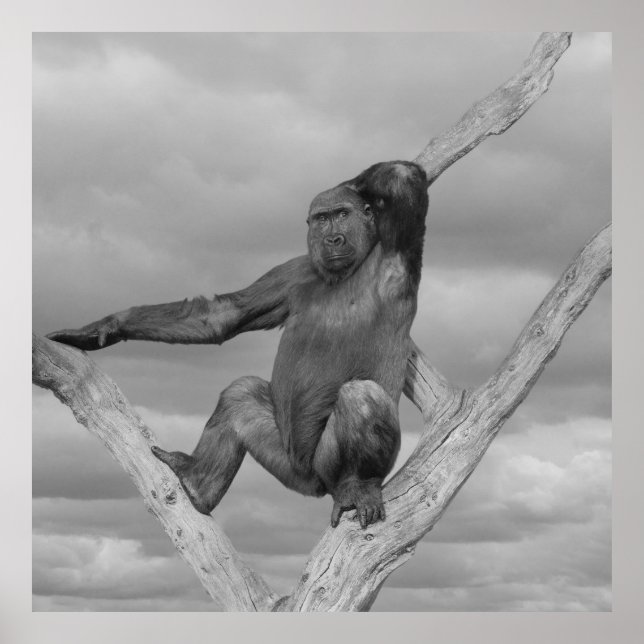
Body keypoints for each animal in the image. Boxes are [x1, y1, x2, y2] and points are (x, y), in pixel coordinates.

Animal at [47, 161, 429, 529]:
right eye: (323, 218)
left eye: (343, 213)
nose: (333, 238)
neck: (343, 273)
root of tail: (313, 485)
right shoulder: (289, 273)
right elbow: (224, 315)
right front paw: (105, 326)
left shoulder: (396, 252)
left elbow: (404, 175)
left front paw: (353, 184)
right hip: (285, 464)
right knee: (240, 393)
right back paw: (198, 481)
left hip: (324, 469)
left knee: (362, 397)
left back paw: (358, 487)